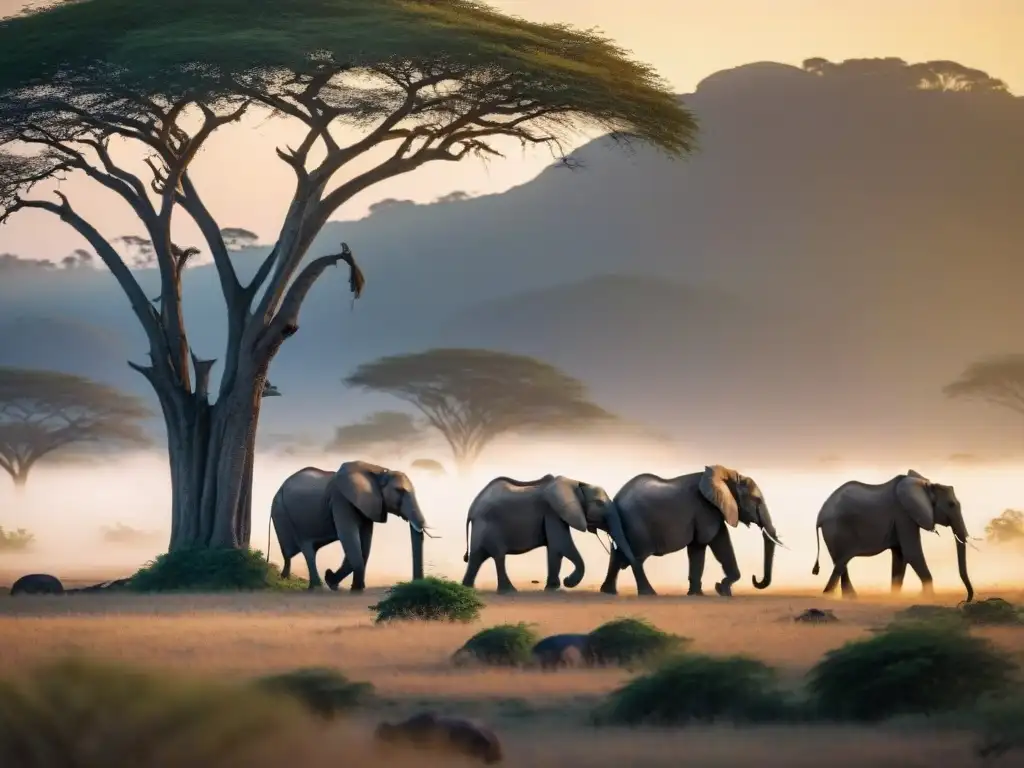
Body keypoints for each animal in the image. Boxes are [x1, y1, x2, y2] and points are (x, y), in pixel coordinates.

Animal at [270, 460, 425, 593]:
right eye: (399, 490)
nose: (415, 584)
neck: (378, 471)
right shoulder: (341, 501)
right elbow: (351, 542)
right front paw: (341, 584)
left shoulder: (368, 507)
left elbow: (365, 547)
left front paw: (350, 586)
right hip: (282, 514)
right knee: (303, 550)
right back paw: (313, 587)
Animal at [462, 475, 634, 593]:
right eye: (599, 504)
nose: (624, 565)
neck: (576, 483)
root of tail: (471, 510)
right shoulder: (553, 513)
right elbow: (561, 545)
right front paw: (565, 584)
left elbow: (554, 550)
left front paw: (553, 587)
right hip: (489, 526)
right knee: (498, 556)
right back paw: (509, 591)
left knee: (476, 558)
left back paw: (468, 588)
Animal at [598, 466, 782, 598]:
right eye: (757, 500)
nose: (755, 578)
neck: (727, 475)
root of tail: (616, 499)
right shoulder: (705, 510)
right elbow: (710, 542)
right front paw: (719, 589)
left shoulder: (713, 510)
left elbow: (708, 546)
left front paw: (704, 593)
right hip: (637, 525)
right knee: (636, 558)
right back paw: (648, 594)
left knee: (616, 555)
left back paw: (609, 592)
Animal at [811, 466, 970, 606]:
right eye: (951, 504)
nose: (965, 601)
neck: (924, 486)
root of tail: (820, 515)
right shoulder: (903, 515)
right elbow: (912, 553)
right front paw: (928, 599)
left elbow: (901, 556)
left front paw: (894, 597)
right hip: (836, 530)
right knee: (841, 563)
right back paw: (830, 596)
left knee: (841, 564)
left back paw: (847, 598)